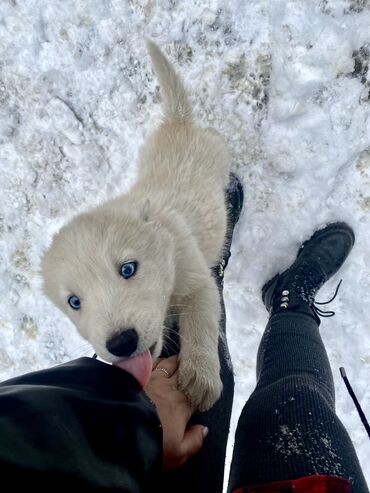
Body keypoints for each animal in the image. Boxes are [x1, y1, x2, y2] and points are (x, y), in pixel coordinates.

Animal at [42, 40, 230, 410]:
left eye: (128, 269)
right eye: (74, 302)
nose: (121, 342)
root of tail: (177, 122)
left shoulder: (197, 278)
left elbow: (201, 319)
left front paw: (200, 378)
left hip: (218, 153)